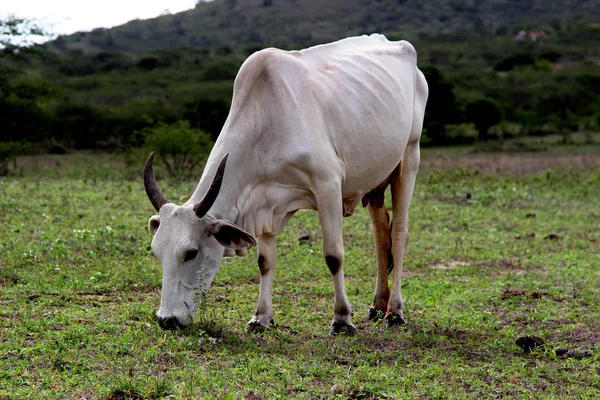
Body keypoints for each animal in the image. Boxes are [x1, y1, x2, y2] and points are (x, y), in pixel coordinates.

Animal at [144, 33, 428, 334]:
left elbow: (334, 255)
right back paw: (377, 305)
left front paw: (342, 319)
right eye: (157, 252)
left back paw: (394, 311)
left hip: (409, 156)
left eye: (191, 253)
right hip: (376, 181)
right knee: (380, 236)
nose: (167, 320)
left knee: (399, 235)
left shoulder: (328, 187)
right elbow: (265, 261)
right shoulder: (263, 201)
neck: (266, 122)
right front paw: (261, 317)